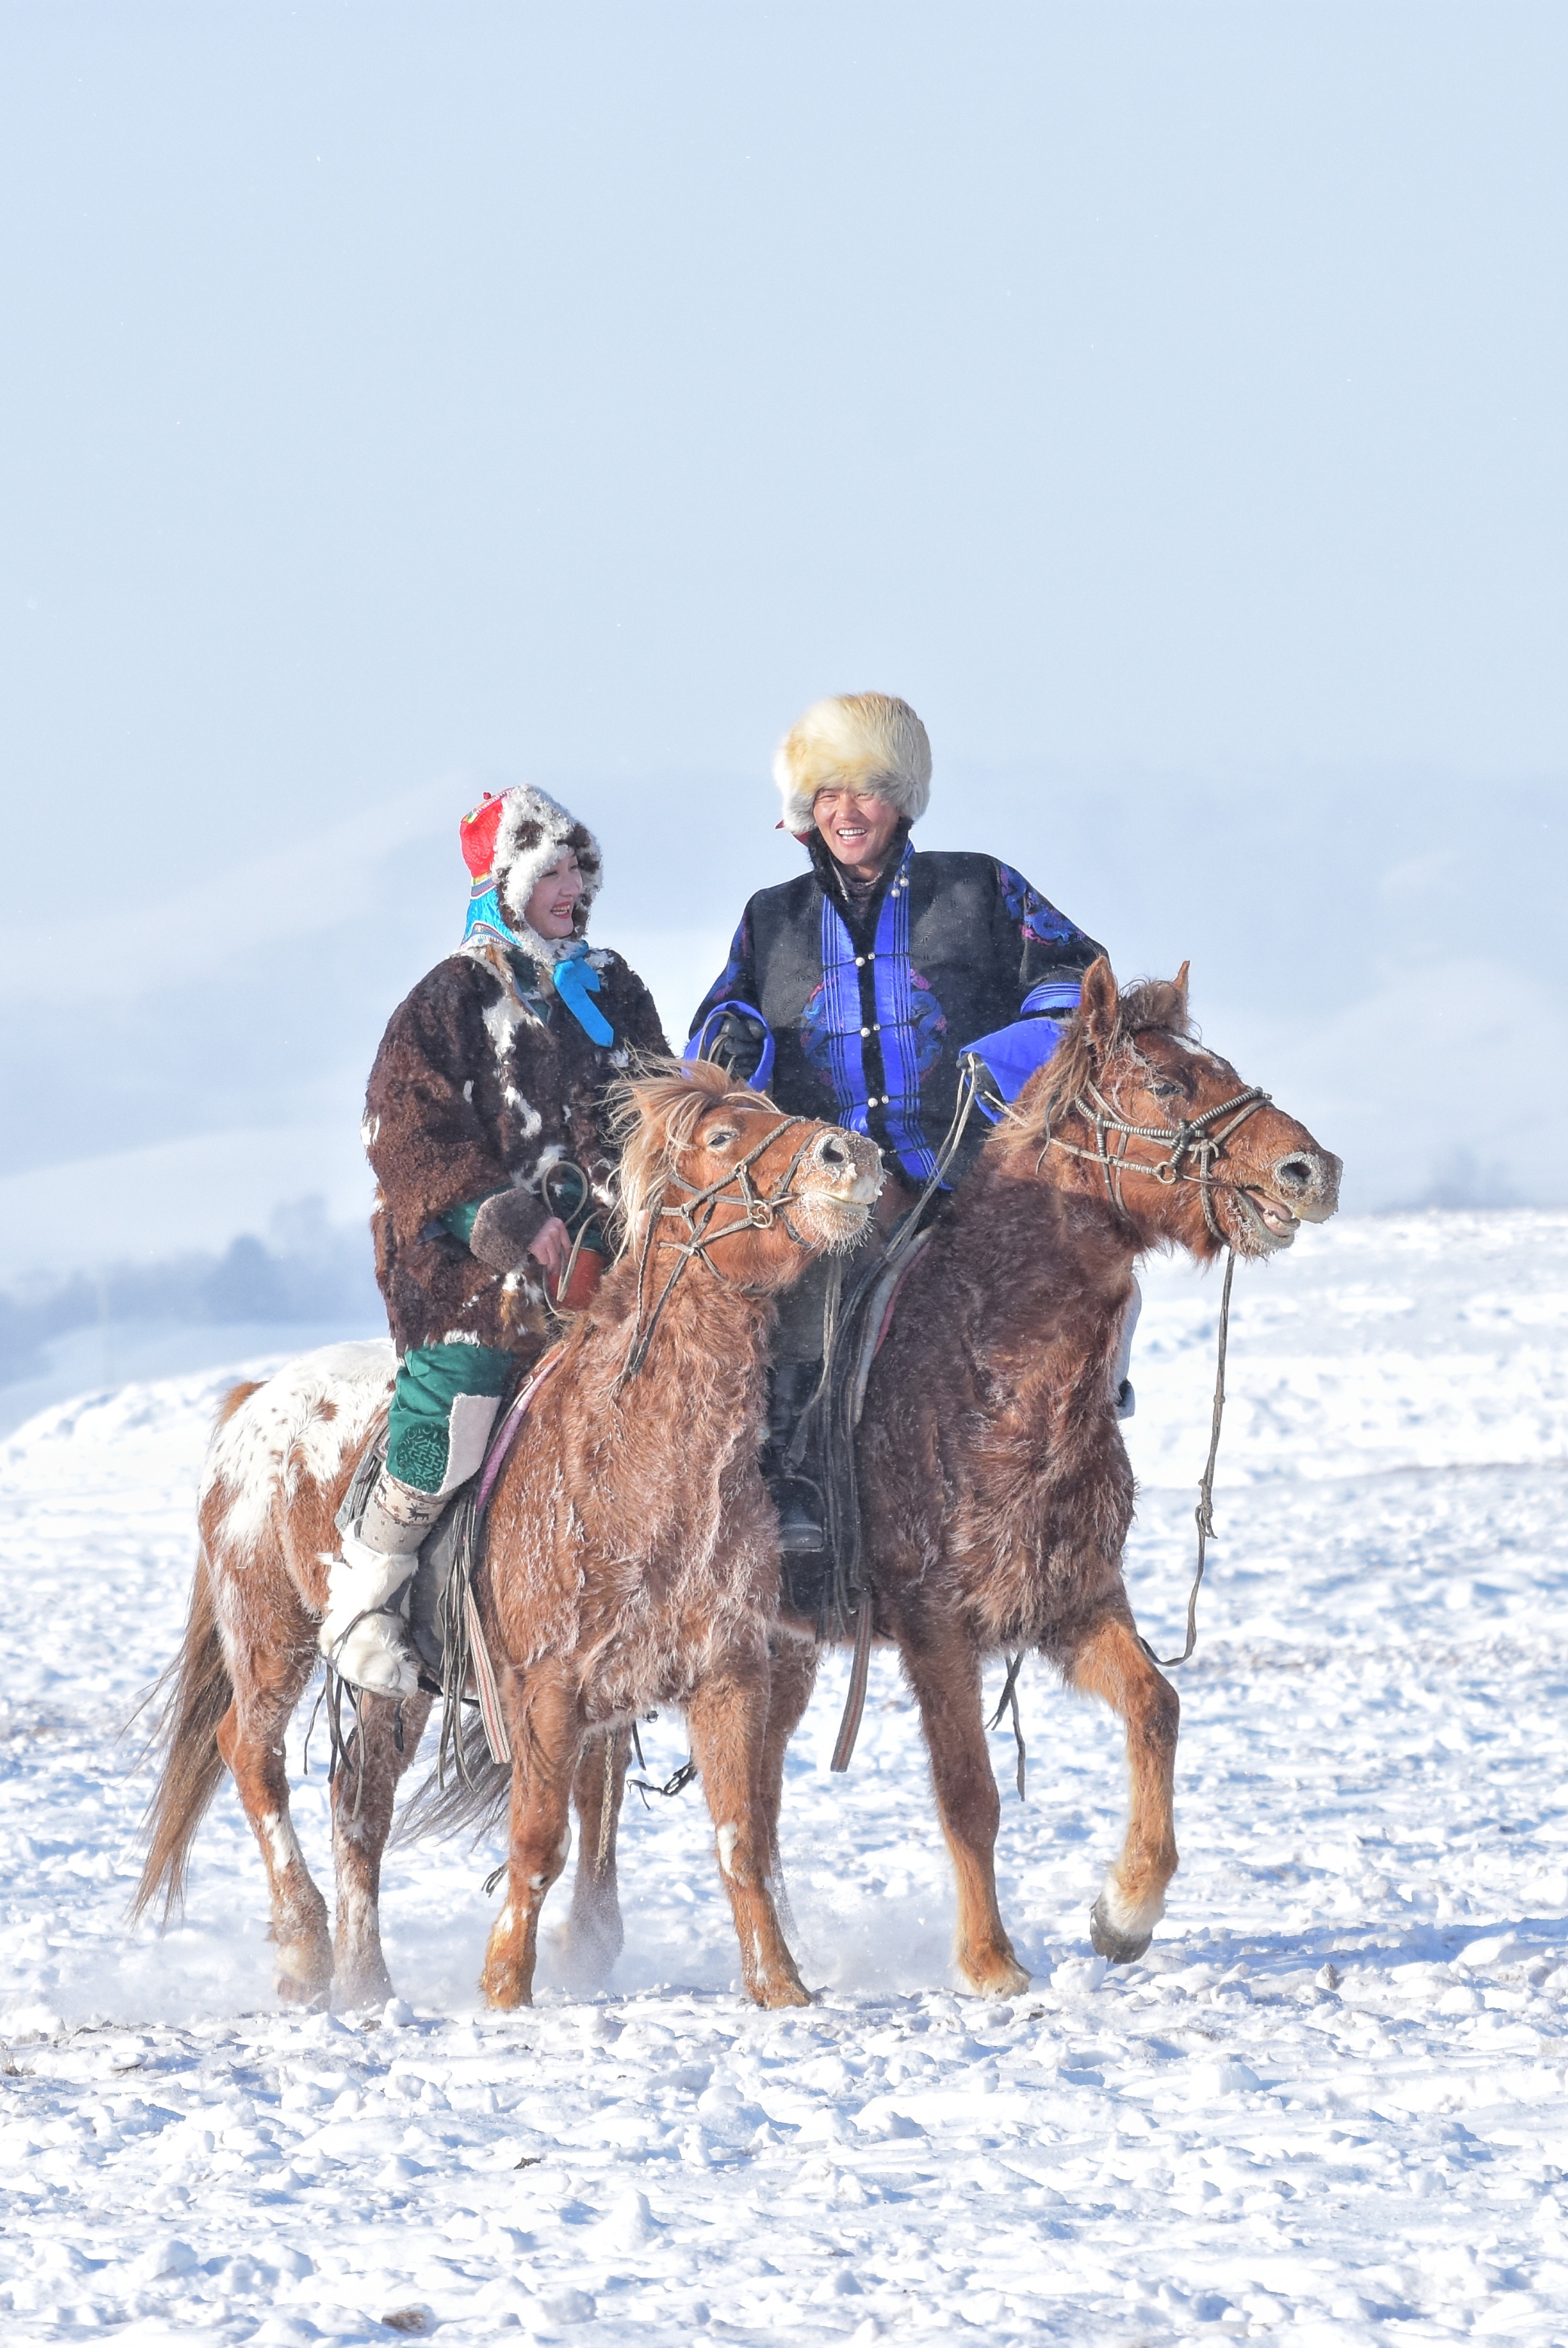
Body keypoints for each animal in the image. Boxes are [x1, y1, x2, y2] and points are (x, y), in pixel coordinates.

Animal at [131, 1066, 882, 2000]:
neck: (636, 1463)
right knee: (250, 1752)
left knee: (359, 1803)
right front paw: (504, 1990)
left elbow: (741, 1838)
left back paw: (368, 1980)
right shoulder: (547, 1691)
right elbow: (538, 1843)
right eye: (719, 1137)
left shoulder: (730, 1676)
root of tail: (255, 1401)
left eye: (776, 1110)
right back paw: (306, 1948)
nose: (848, 1153)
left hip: (398, 1688)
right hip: (268, 1634)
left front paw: (781, 1988)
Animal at [570, 962, 1342, 1991]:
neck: (993, 1364)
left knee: (755, 1796)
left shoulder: (1071, 1600)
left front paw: (1125, 1910)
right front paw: (989, 1961)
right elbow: (969, 1792)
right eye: (1170, 1082)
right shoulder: (937, 1625)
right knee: (597, 1777)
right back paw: (583, 1943)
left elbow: (1156, 1709)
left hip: (780, 1653)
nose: (1312, 1170)